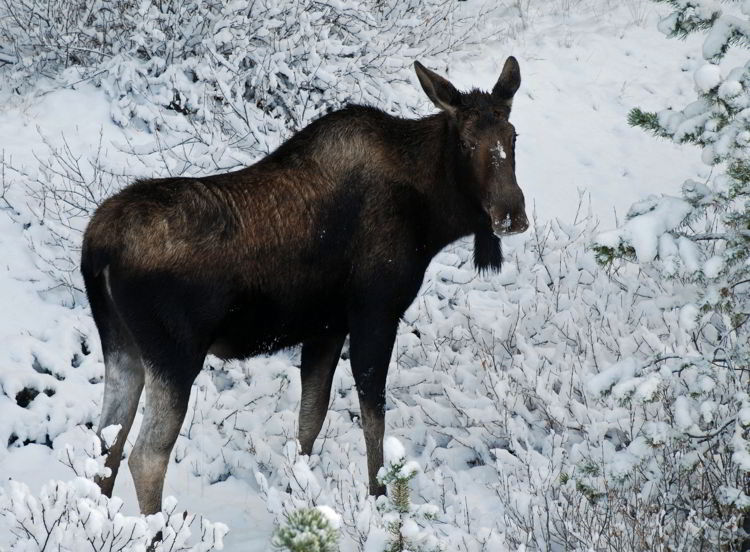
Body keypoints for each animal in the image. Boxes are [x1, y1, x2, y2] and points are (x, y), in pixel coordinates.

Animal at [81, 56, 528, 512]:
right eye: (467, 143)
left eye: (513, 135)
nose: (511, 214)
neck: (432, 219)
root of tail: (98, 247)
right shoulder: (376, 313)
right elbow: (373, 420)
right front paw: (379, 499)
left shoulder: (326, 328)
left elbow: (310, 418)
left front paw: (300, 492)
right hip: (175, 354)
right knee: (146, 456)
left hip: (122, 345)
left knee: (105, 441)